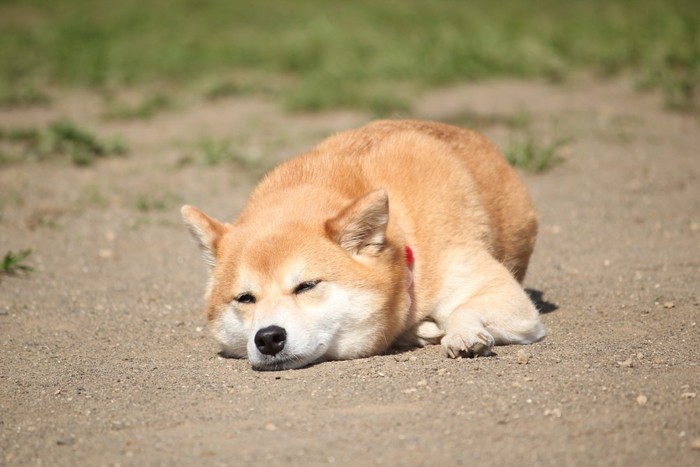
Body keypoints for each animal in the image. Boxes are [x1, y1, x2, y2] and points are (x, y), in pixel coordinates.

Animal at [183, 121, 544, 372]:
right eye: (245, 298)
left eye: (307, 285)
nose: (268, 337)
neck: (404, 236)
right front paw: (422, 329)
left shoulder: (509, 299)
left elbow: (462, 309)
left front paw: (462, 334)